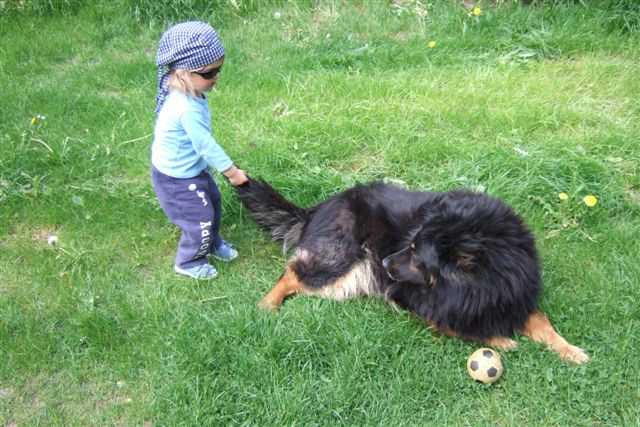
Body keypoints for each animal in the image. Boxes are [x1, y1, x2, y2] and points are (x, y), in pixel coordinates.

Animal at [236, 178, 589, 364]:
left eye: (417, 254)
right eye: (413, 244)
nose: (384, 264)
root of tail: (315, 209)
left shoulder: (514, 296)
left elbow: (542, 321)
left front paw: (570, 350)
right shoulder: (421, 303)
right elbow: (457, 326)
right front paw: (500, 340)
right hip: (341, 263)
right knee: (293, 273)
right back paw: (267, 304)